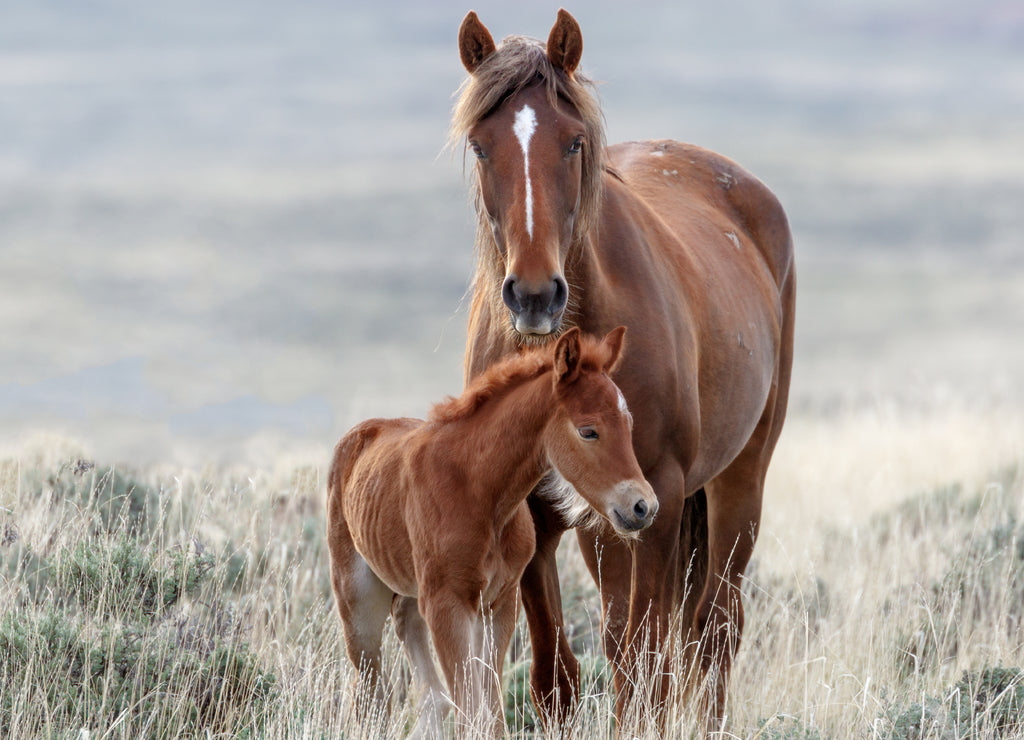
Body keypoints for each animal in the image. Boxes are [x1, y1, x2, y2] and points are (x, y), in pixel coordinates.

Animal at [326, 326, 657, 738]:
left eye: (629, 425)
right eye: (588, 431)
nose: (643, 506)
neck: (480, 493)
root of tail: (359, 433)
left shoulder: (499, 604)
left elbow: (491, 711)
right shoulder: (448, 604)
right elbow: (471, 710)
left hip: (413, 592)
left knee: (417, 656)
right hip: (357, 600)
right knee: (371, 689)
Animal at [451, 9, 795, 730]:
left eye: (574, 143)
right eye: (480, 145)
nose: (533, 295)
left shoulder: (658, 496)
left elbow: (648, 660)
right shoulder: (537, 506)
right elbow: (558, 674)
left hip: (736, 484)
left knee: (712, 629)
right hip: (608, 523)